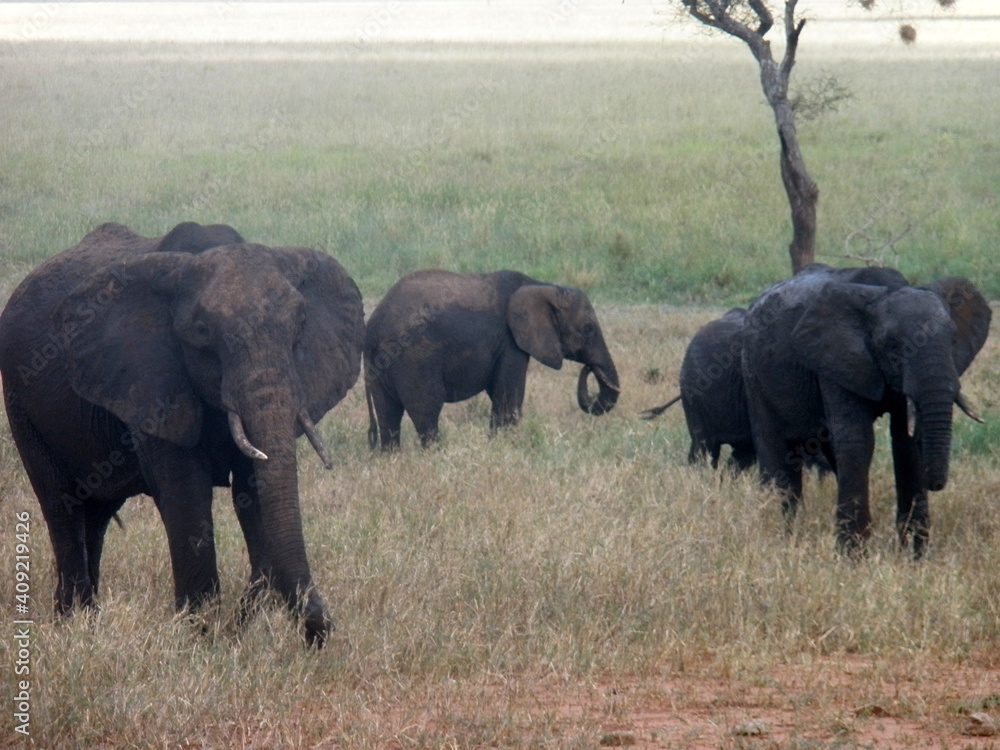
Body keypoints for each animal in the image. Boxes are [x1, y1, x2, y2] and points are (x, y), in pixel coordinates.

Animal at [0, 222, 366, 648]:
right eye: (202, 333)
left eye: (300, 327)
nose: (319, 631)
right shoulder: (151, 378)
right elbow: (186, 492)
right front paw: (200, 635)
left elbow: (254, 491)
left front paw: (241, 624)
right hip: (21, 403)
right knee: (62, 505)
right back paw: (72, 625)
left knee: (96, 514)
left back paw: (86, 623)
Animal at [364, 268, 620, 450]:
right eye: (588, 329)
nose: (590, 368)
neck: (543, 286)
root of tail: (374, 329)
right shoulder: (509, 343)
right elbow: (508, 396)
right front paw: (505, 447)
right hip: (416, 359)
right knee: (426, 410)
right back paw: (437, 455)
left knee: (388, 415)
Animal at [740, 264, 988, 560]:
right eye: (893, 345)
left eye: (952, 340)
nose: (936, 484)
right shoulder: (835, 360)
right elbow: (858, 441)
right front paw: (852, 557)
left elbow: (906, 444)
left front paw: (913, 556)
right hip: (754, 374)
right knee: (777, 455)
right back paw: (780, 533)